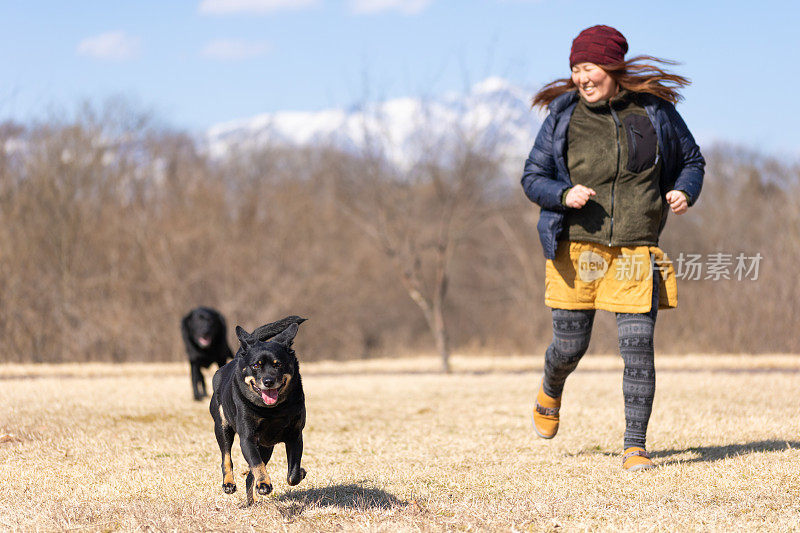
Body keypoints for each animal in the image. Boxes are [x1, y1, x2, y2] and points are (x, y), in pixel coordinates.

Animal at [209, 314, 310, 504]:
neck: (273, 410)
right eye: (256, 365)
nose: (268, 381)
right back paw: (229, 484)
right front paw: (264, 484)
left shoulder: (295, 435)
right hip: (222, 426)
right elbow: (256, 463)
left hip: (266, 446)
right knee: (226, 457)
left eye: (278, 365)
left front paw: (300, 472)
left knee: (250, 475)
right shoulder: (247, 438)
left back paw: (253, 500)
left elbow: (292, 474)